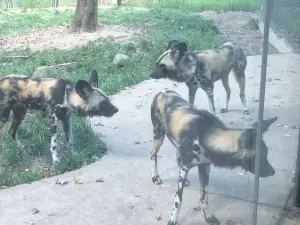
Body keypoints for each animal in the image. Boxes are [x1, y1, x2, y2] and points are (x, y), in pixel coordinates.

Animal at [150, 89, 276, 225]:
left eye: (266, 154)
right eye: (260, 158)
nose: (273, 172)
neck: (204, 135)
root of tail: (163, 92)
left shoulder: (204, 167)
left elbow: (204, 197)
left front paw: (208, 216)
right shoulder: (186, 167)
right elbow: (178, 199)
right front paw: (173, 219)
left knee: (177, 157)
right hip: (158, 136)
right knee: (153, 156)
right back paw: (155, 177)